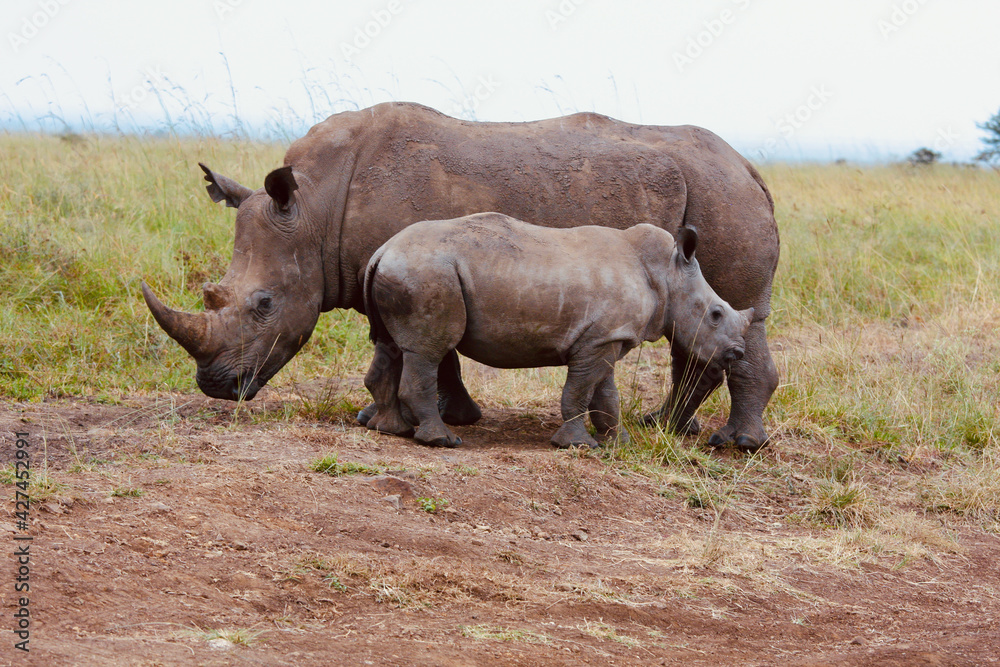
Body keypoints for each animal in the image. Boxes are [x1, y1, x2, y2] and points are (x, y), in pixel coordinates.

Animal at [363, 214, 753, 449]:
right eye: (715, 314)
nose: (737, 353)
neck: (668, 275)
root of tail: (382, 250)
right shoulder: (597, 339)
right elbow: (580, 390)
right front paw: (576, 445)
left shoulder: (608, 338)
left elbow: (606, 394)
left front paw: (618, 443)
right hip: (427, 272)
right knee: (427, 352)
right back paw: (442, 441)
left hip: (409, 270)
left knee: (392, 346)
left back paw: (390, 429)